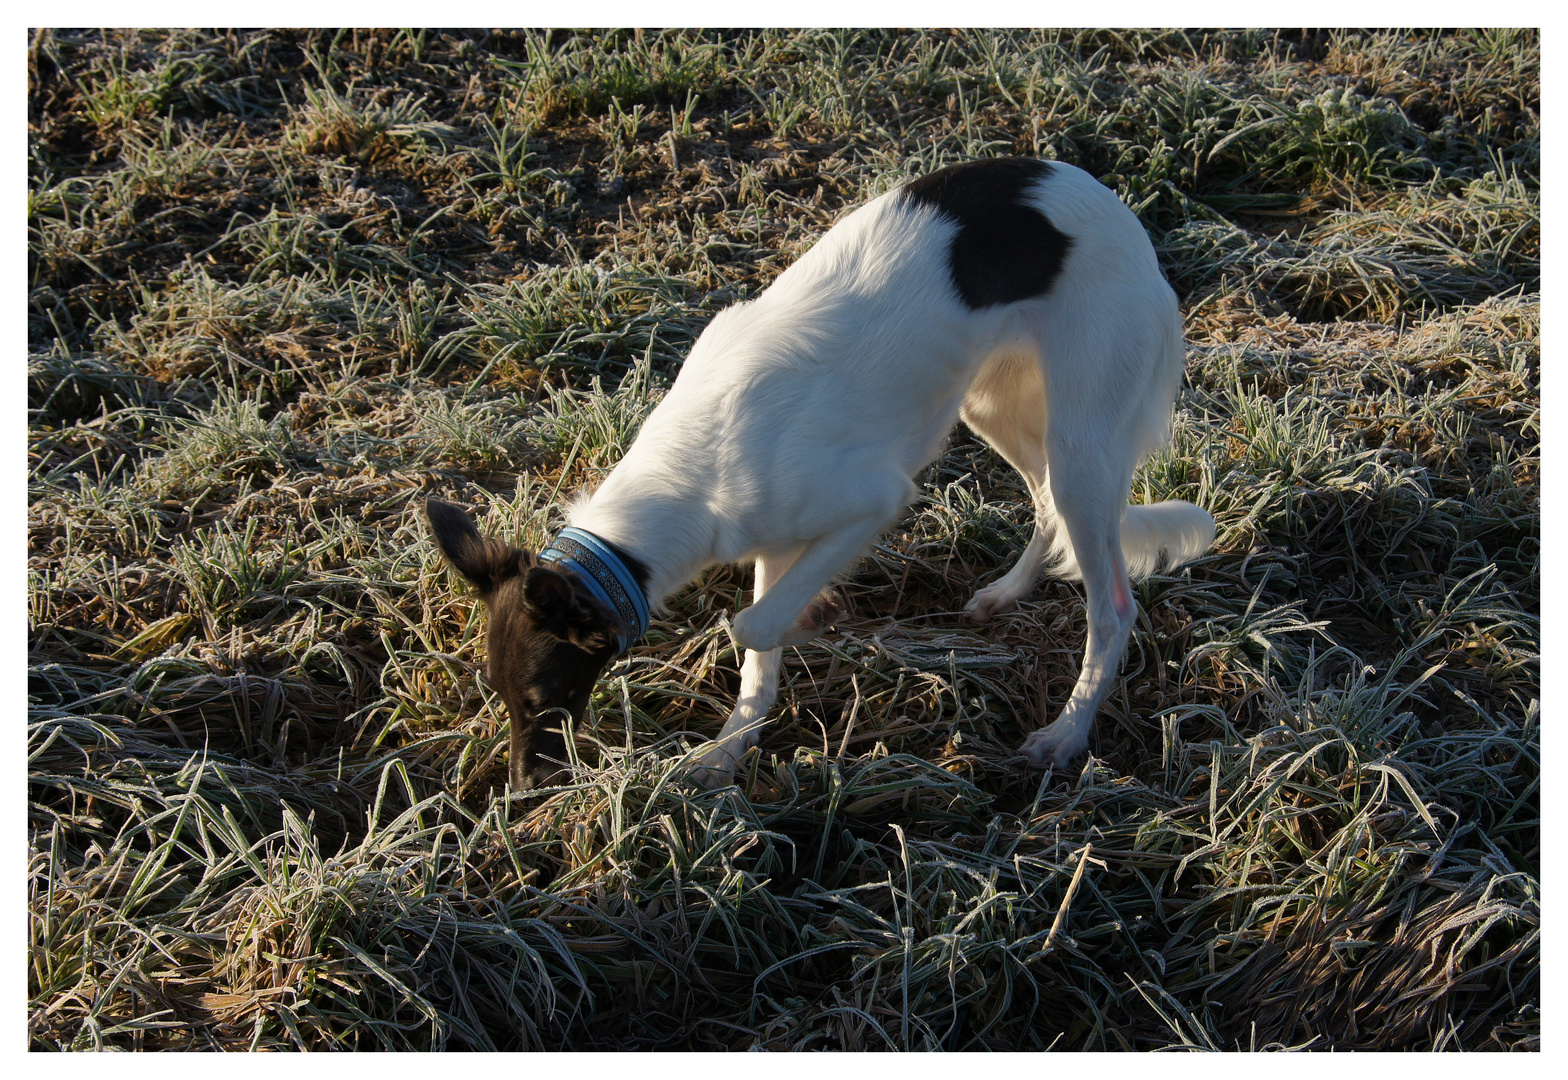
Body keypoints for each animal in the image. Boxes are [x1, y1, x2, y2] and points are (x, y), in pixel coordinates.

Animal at [426, 155, 1210, 786]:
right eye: (501, 697)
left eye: (542, 701)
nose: (522, 789)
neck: (686, 471)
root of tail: (1126, 223)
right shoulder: (774, 538)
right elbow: (757, 660)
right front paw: (727, 750)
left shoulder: (872, 501)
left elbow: (751, 626)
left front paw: (815, 618)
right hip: (990, 403)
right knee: (1046, 504)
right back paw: (1006, 594)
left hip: (1082, 433)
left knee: (1111, 604)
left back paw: (1067, 733)